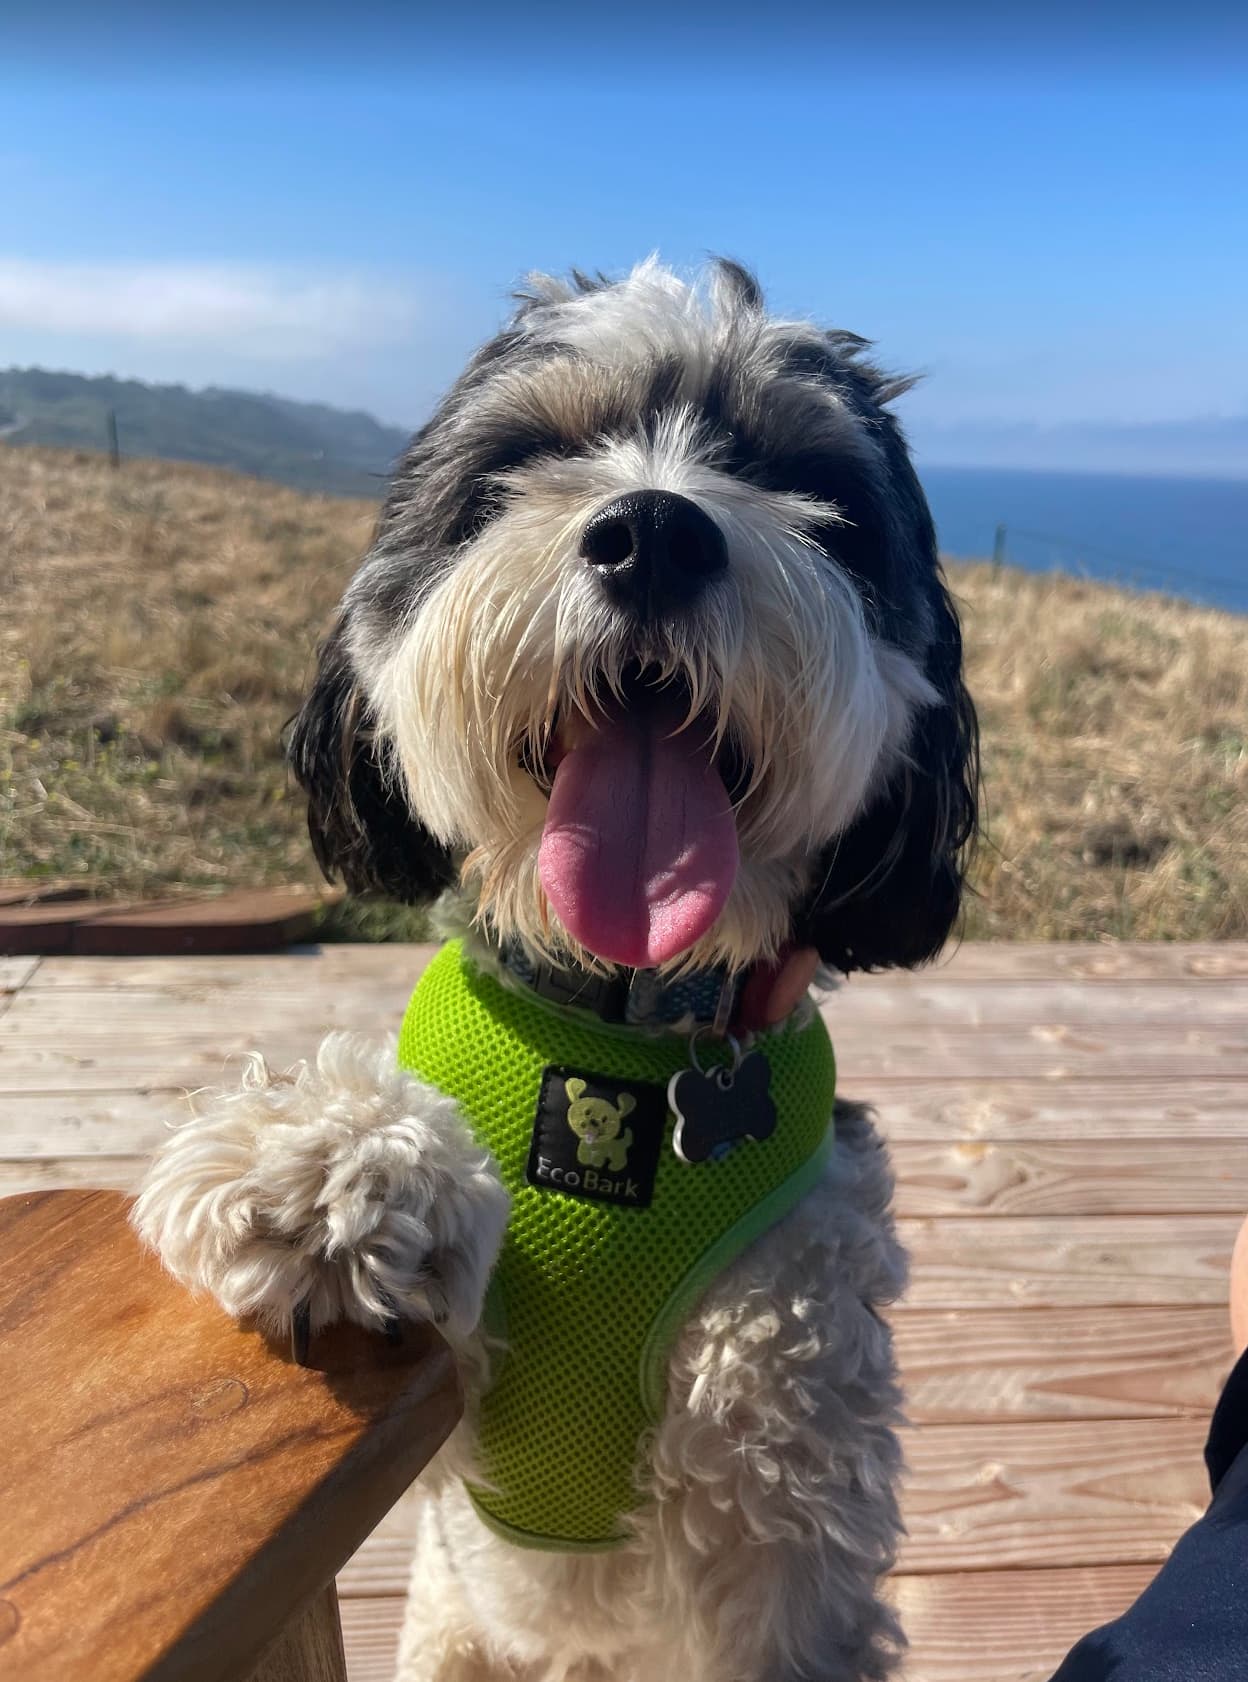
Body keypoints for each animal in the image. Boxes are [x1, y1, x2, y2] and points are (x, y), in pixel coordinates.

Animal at [134, 259, 975, 1682]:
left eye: (804, 479)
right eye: (531, 457)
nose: (656, 530)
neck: (620, 1022)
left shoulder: (788, 1443)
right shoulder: (459, 1428)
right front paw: (323, 1158)